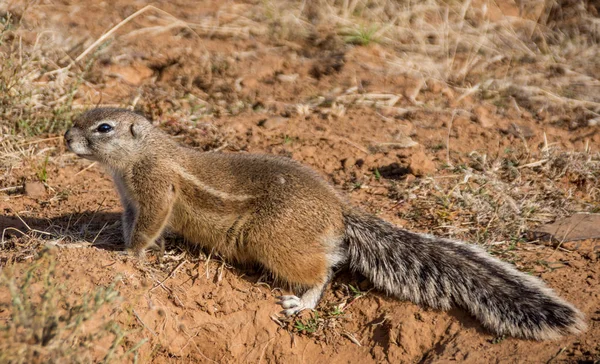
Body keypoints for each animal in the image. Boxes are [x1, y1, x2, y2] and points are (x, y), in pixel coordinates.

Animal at [65, 108, 584, 342]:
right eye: (83, 115)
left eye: (103, 128)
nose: (65, 136)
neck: (140, 155)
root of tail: (339, 209)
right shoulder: (129, 199)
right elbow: (131, 223)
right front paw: (115, 246)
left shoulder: (154, 191)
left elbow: (149, 227)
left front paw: (128, 257)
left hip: (271, 238)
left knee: (325, 267)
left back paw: (303, 301)